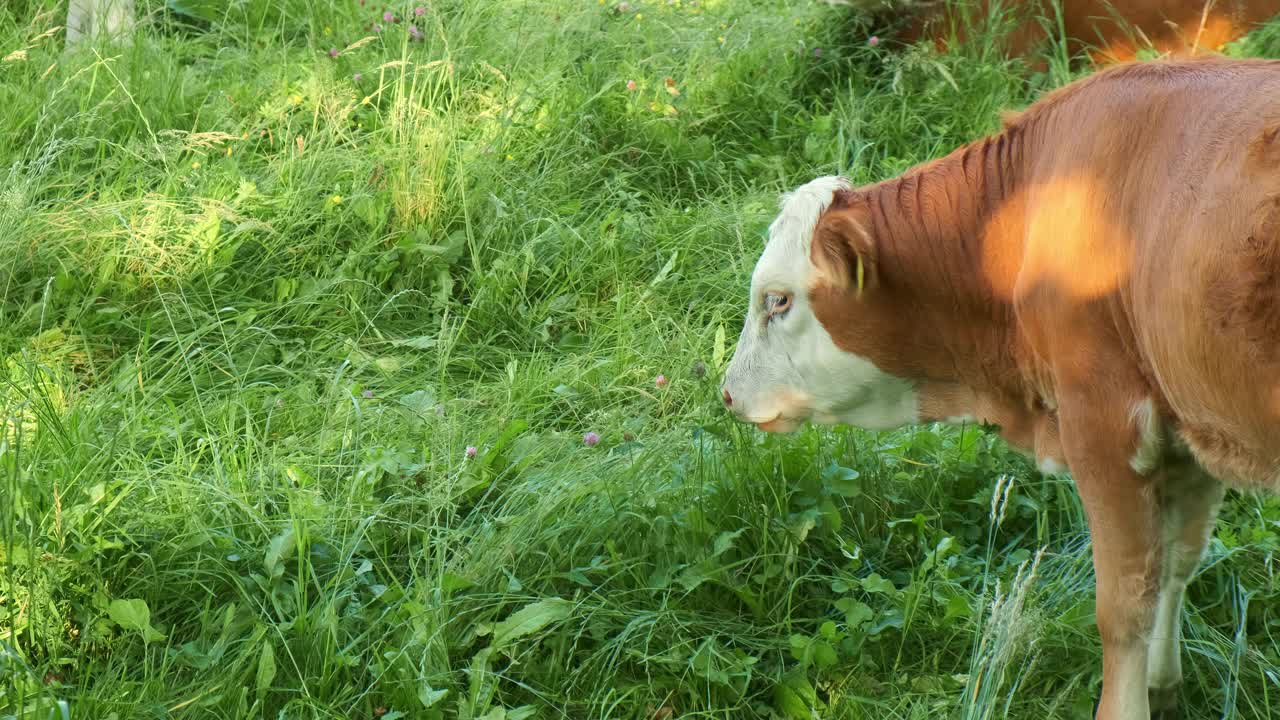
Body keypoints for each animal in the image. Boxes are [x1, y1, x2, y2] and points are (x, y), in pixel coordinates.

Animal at [721, 57, 1280, 717]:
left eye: (777, 300)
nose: (727, 393)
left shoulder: (1103, 427)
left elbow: (1123, 608)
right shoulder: (1190, 430)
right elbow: (1178, 564)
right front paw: (1164, 686)